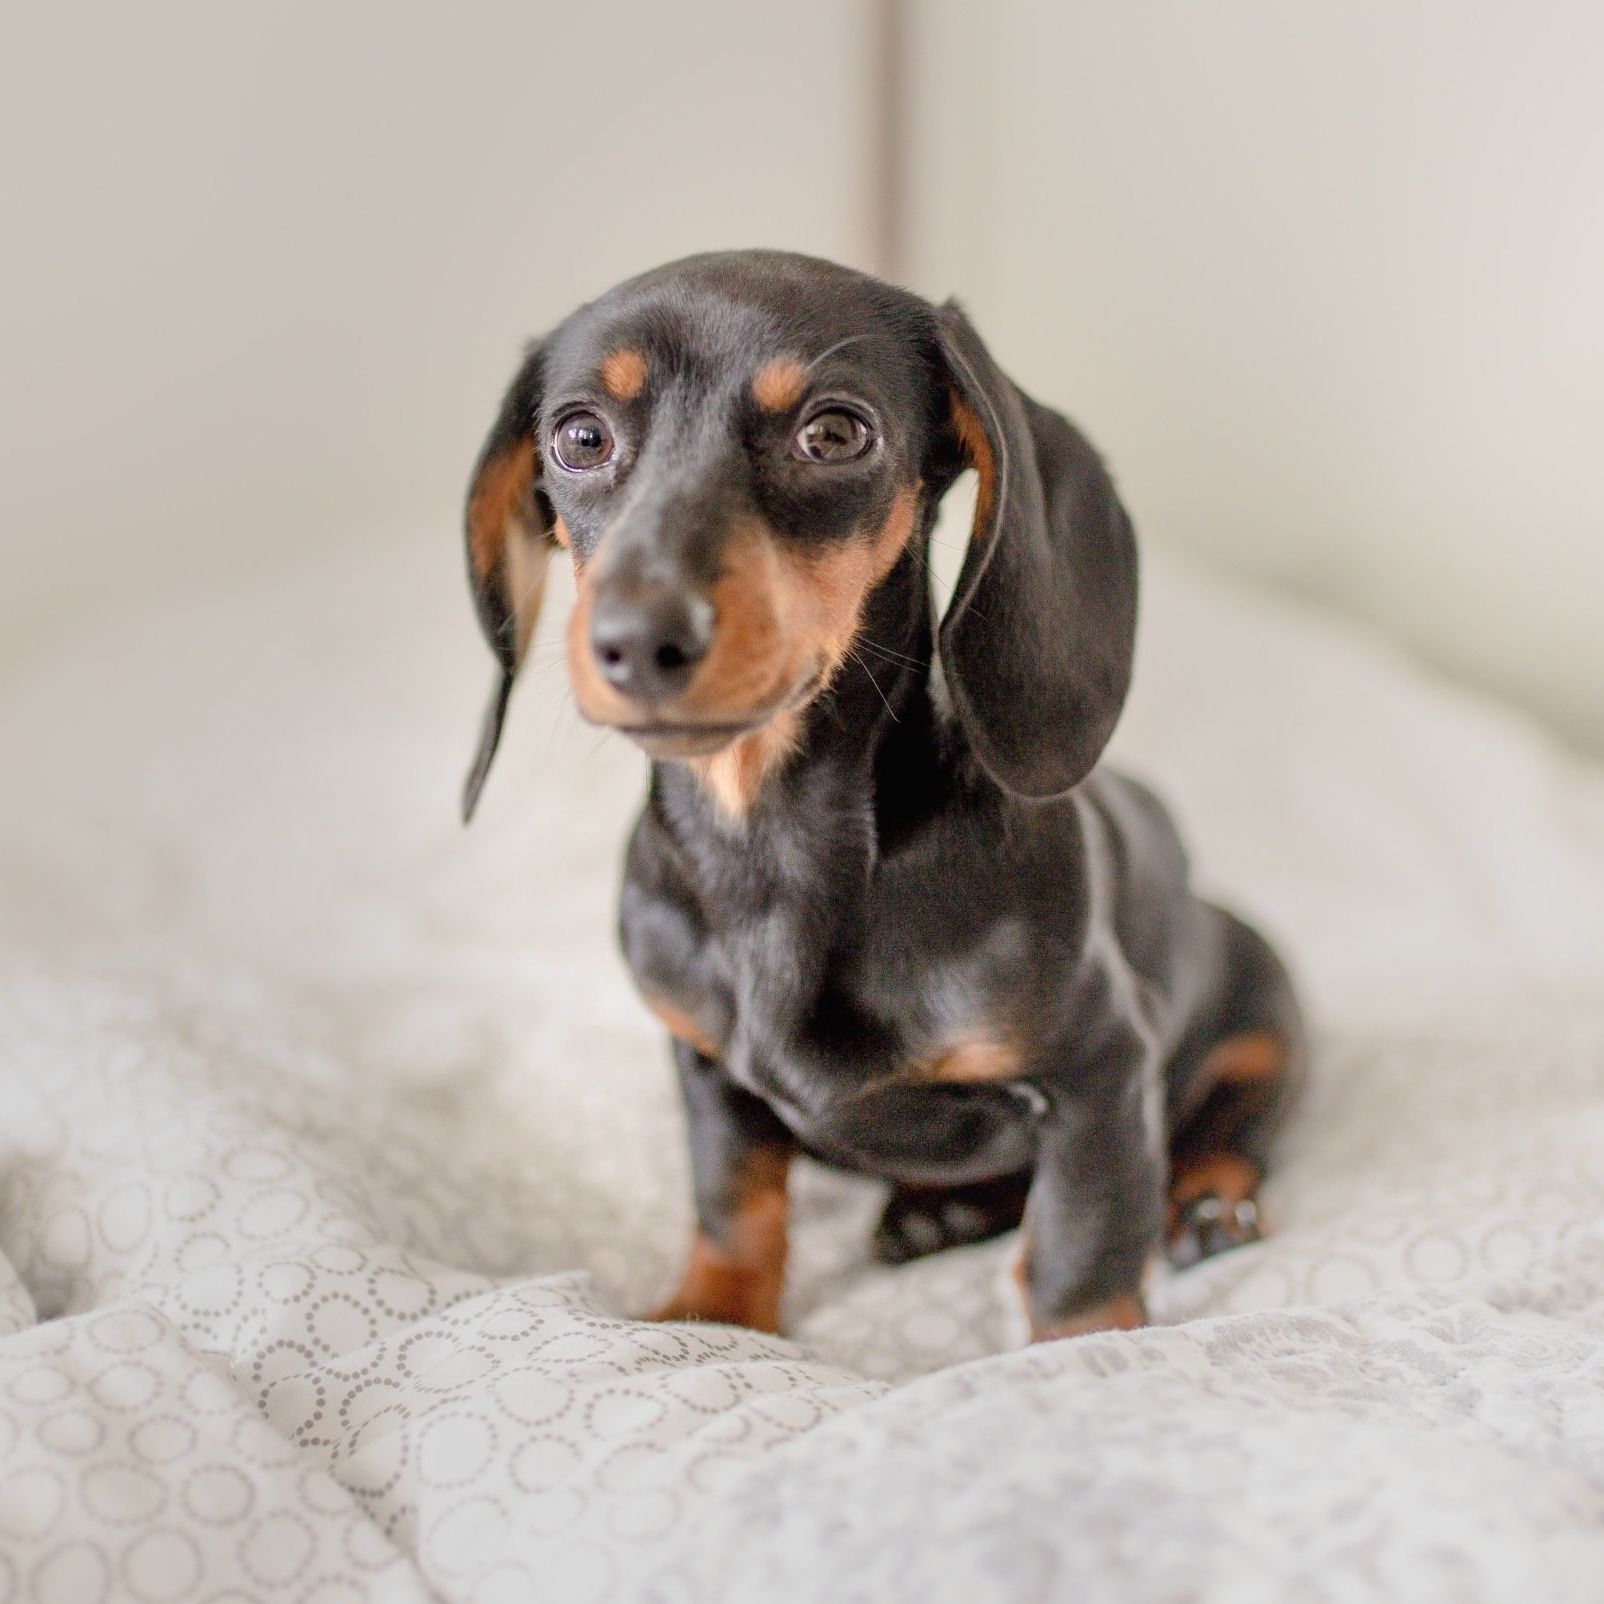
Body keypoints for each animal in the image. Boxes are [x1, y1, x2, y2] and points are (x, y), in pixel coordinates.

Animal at [458, 247, 1296, 1340]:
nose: (637, 640)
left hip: (1265, 1001)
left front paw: (1083, 1355)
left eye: (834, 432)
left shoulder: (1103, 1069)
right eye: (579, 436)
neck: (773, 854)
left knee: (1240, 1115)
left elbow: (1080, 1243)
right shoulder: (701, 1066)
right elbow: (732, 1199)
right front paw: (711, 1320)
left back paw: (1203, 1198)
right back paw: (943, 1209)